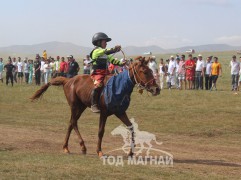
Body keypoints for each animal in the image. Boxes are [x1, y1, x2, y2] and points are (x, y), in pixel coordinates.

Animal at [31, 57, 161, 157]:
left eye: (151, 70)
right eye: (145, 71)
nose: (157, 89)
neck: (119, 87)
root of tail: (68, 80)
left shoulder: (120, 112)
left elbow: (131, 128)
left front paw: (131, 152)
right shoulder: (103, 113)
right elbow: (100, 131)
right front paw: (99, 151)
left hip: (81, 107)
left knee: (71, 123)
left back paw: (66, 147)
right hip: (74, 106)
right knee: (73, 122)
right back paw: (82, 147)